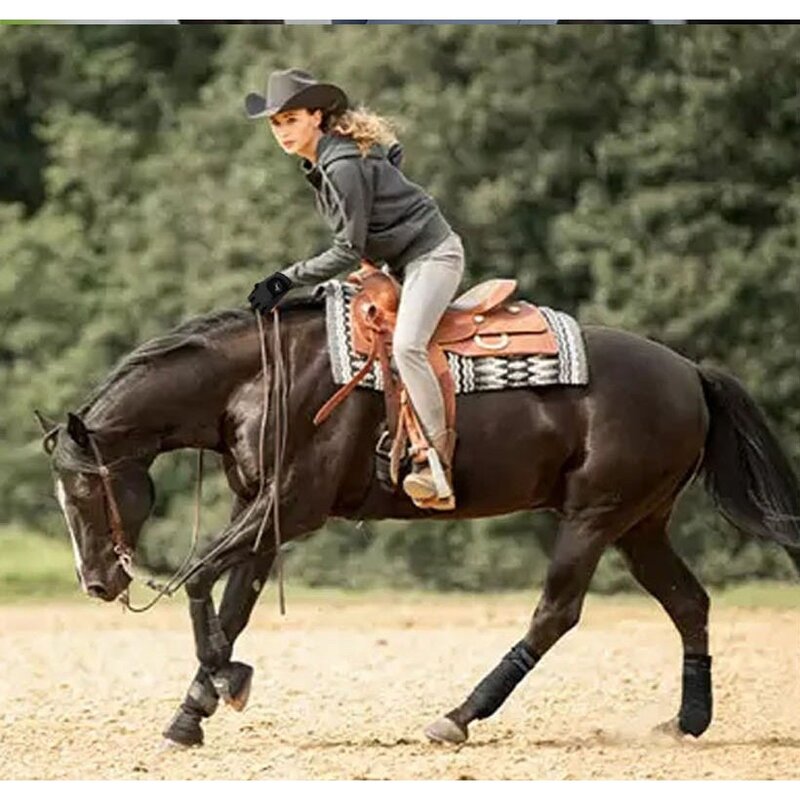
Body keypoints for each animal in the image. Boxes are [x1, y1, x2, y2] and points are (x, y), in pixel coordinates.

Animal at [36, 296, 800, 752]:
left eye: (83, 487)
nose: (96, 582)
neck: (261, 380)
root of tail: (689, 371)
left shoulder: (292, 507)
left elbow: (198, 584)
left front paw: (227, 682)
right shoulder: (261, 512)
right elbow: (232, 605)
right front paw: (192, 712)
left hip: (594, 517)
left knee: (556, 613)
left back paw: (458, 717)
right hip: (640, 524)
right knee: (688, 602)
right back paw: (689, 720)